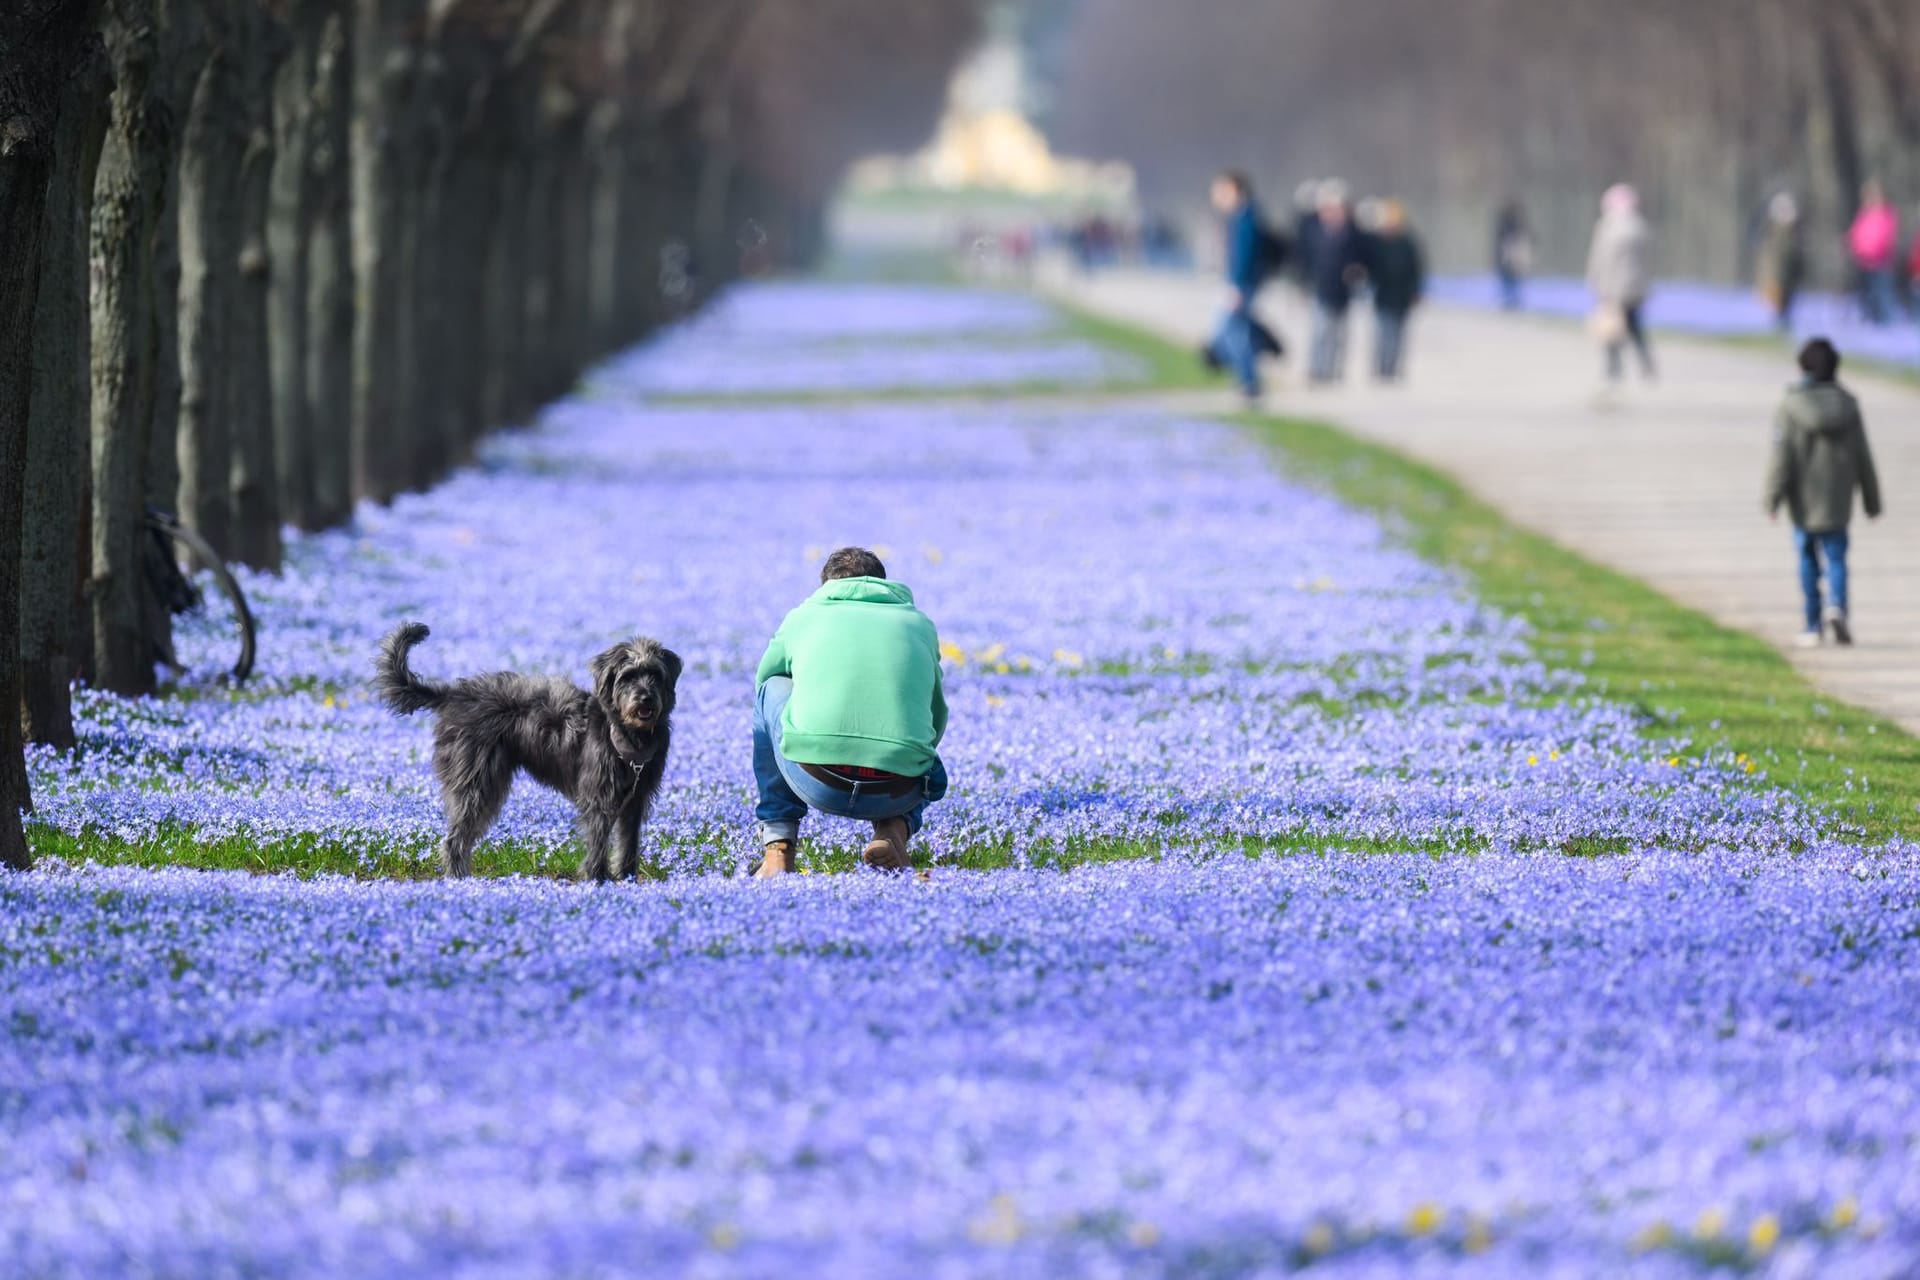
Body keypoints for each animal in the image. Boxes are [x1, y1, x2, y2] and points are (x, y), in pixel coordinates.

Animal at [370, 621, 679, 882]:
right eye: (628, 677)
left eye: (654, 674)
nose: (645, 698)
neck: (627, 734)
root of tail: (452, 695)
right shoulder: (600, 798)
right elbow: (598, 841)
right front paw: (597, 879)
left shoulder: (636, 800)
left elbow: (628, 843)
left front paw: (628, 878)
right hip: (476, 783)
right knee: (454, 838)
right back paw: (460, 879)